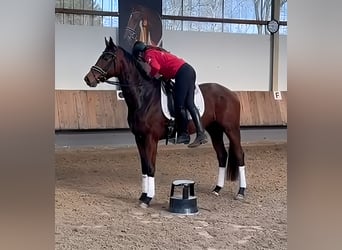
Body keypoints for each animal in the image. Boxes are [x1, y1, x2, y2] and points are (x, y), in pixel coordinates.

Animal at [84, 37, 247, 208]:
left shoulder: (151, 138)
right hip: (215, 130)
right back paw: (217, 189)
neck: (144, 96)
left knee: (239, 155)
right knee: (222, 155)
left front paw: (148, 199)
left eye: (107, 57)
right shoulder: (139, 138)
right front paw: (143, 196)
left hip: (231, 129)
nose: (88, 79)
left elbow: (151, 167)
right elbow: (144, 166)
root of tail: (231, 93)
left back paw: (241, 192)